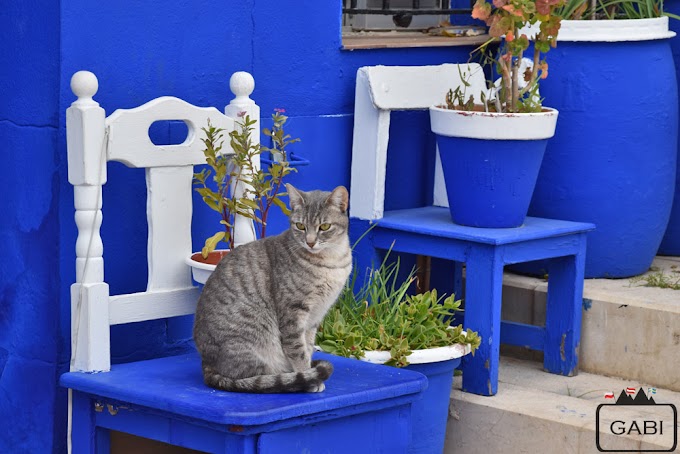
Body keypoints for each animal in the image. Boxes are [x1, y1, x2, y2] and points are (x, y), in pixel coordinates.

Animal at [191, 184, 350, 394]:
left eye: (324, 227)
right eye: (300, 226)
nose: (310, 242)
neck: (331, 261)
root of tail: (206, 364)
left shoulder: (315, 317)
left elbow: (307, 347)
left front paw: (309, 373)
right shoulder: (293, 313)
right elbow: (298, 352)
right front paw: (309, 377)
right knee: (258, 379)